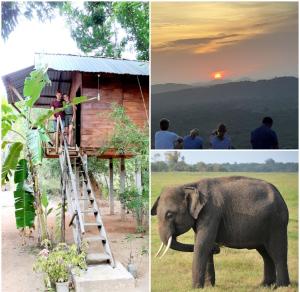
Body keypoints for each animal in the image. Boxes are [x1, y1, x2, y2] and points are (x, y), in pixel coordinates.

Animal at [151, 176, 290, 288]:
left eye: (169, 215)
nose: (217, 248)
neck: (189, 185)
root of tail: (280, 195)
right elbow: (203, 244)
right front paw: (208, 287)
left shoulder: (211, 212)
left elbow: (203, 244)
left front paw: (195, 288)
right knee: (266, 254)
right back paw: (265, 285)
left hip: (277, 223)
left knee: (277, 253)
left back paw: (281, 286)